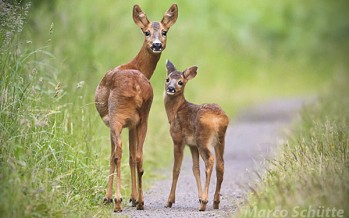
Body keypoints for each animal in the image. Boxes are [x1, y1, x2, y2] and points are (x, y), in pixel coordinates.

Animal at [94, 4, 178, 212]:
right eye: (146, 32)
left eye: (164, 31)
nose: (156, 45)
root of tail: (138, 89)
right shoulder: (132, 123)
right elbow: (133, 157)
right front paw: (132, 197)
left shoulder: (113, 122)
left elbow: (113, 156)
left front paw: (109, 197)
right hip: (144, 117)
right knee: (139, 155)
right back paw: (140, 202)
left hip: (116, 115)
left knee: (118, 153)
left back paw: (117, 201)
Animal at [163, 60, 228, 211]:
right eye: (167, 79)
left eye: (180, 82)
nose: (171, 88)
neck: (175, 112)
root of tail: (219, 119)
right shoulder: (191, 145)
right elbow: (195, 168)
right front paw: (198, 197)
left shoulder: (178, 139)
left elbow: (176, 169)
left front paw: (170, 201)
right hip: (220, 140)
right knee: (220, 164)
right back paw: (215, 201)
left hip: (202, 139)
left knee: (210, 160)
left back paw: (204, 202)